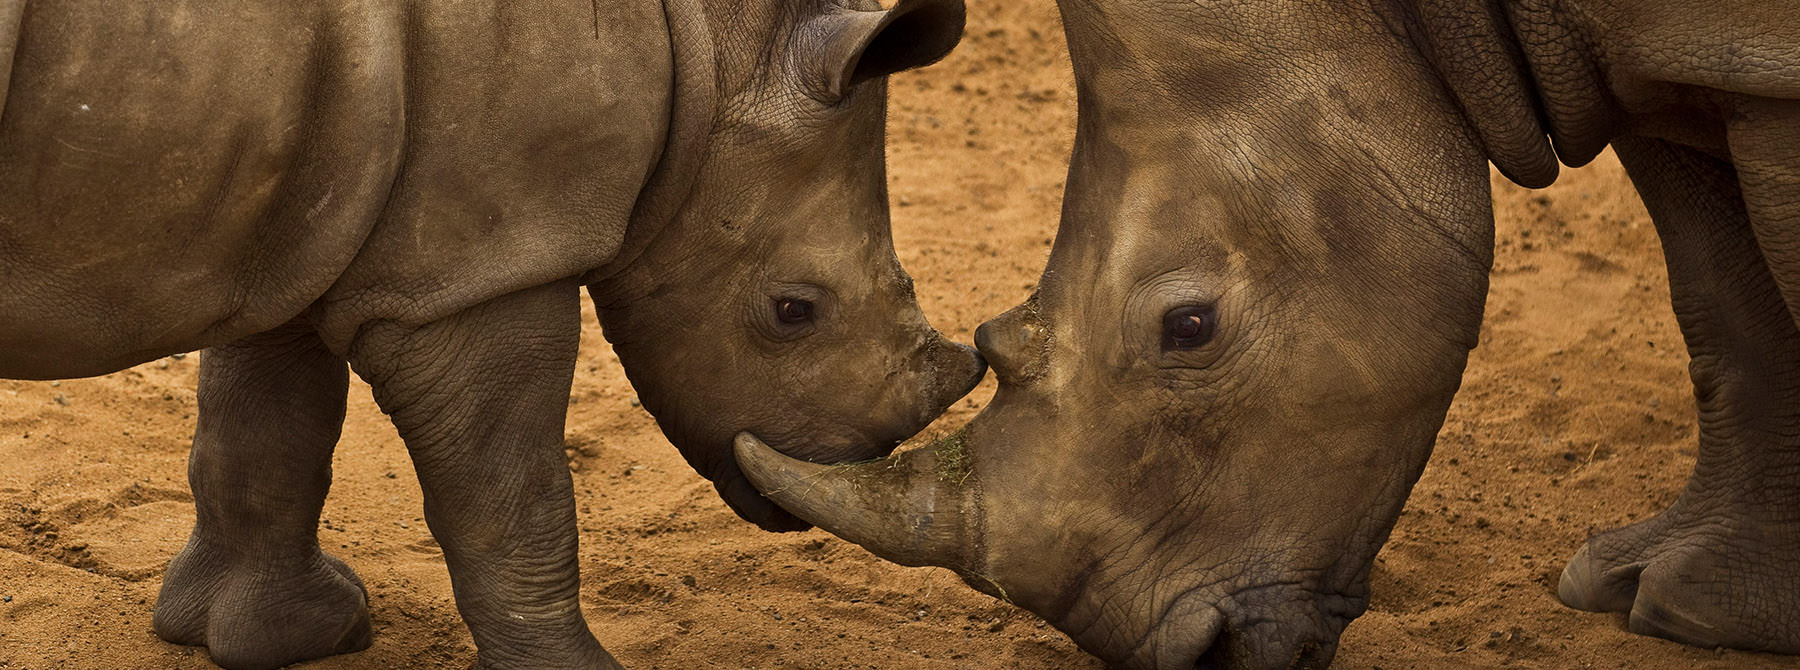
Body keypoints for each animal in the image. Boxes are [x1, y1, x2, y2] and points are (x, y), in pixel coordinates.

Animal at [3, 1, 986, 670]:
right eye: (792, 312)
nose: (864, 449)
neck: (718, 52)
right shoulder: (481, 263)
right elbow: (509, 490)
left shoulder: (303, 218)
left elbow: (264, 429)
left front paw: (277, 638)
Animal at [738, 0, 1800, 666]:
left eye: (1190, 326)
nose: (1199, 655)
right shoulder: (1661, 63)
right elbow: (1725, 303)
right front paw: (1674, 604)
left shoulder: (1756, 61)